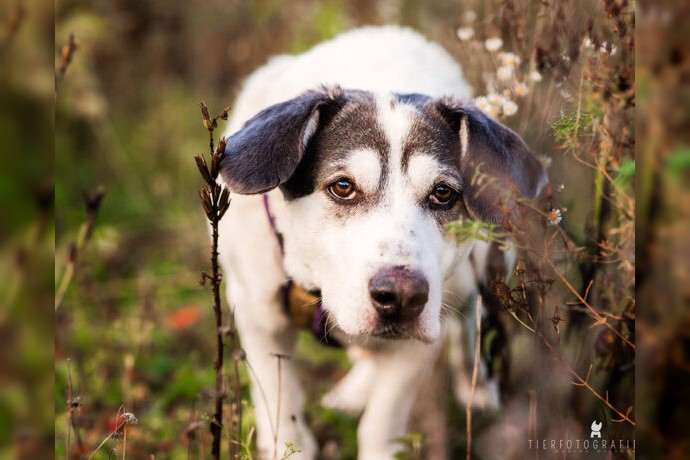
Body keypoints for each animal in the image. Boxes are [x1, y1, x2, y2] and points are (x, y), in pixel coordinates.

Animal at [218, 26, 544, 460]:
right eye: (343, 187)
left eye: (443, 194)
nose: (403, 297)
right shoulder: (258, 316)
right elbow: (280, 407)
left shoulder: (421, 339)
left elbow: (382, 422)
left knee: (470, 317)